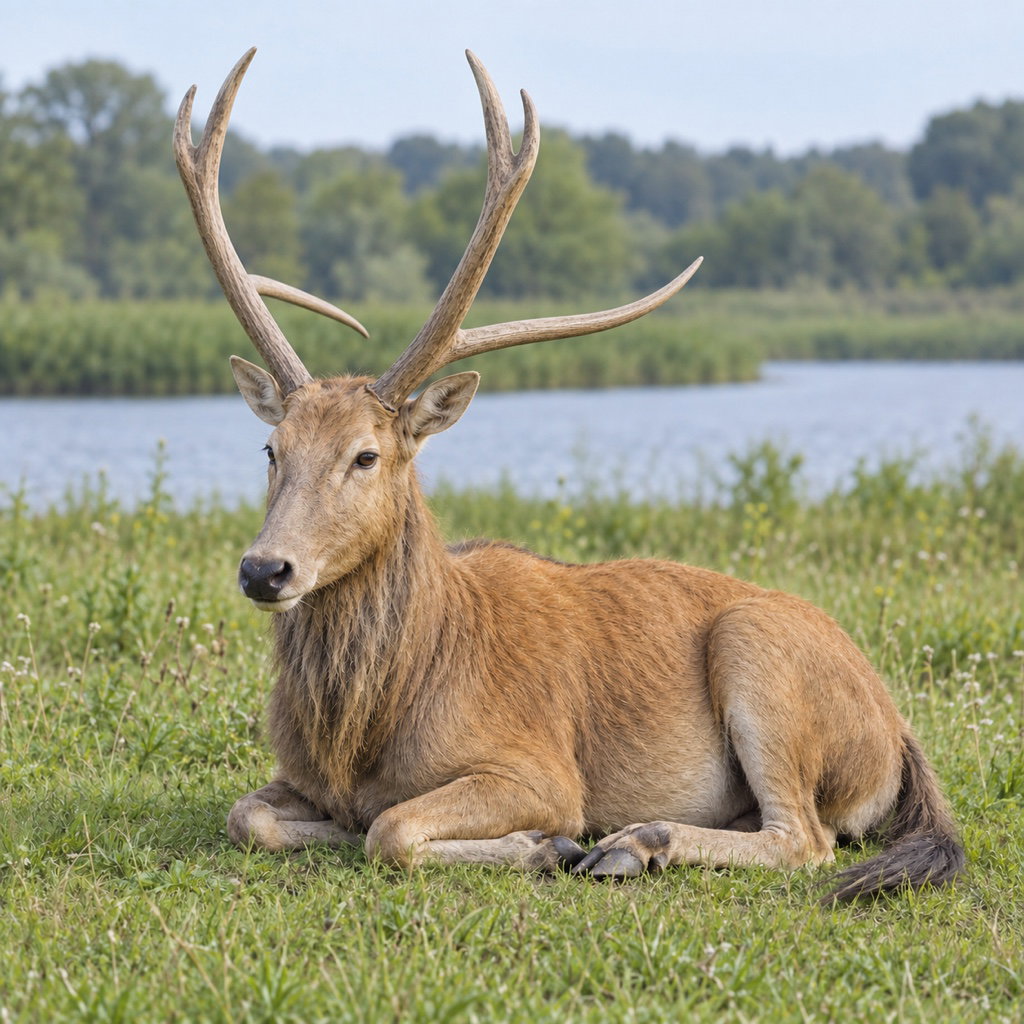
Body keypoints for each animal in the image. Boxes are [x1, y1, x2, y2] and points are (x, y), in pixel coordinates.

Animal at [174, 49, 964, 901]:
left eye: (365, 454)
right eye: (272, 449)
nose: (265, 569)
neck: (366, 729)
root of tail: (896, 733)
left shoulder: (540, 767)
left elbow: (392, 829)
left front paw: (544, 845)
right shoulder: (296, 776)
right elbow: (250, 817)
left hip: (762, 658)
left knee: (806, 840)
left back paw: (630, 844)